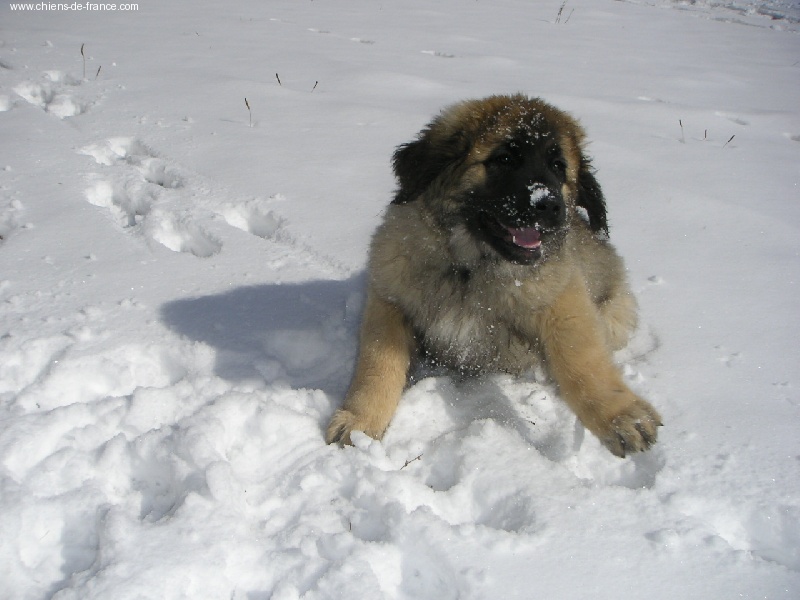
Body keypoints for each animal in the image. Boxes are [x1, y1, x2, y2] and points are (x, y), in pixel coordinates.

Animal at [324, 96, 664, 458]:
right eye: (504, 159)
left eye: (559, 167)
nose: (549, 205)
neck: (470, 268)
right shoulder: (389, 298)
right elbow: (377, 366)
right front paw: (360, 422)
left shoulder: (563, 303)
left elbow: (583, 362)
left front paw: (621, 415)